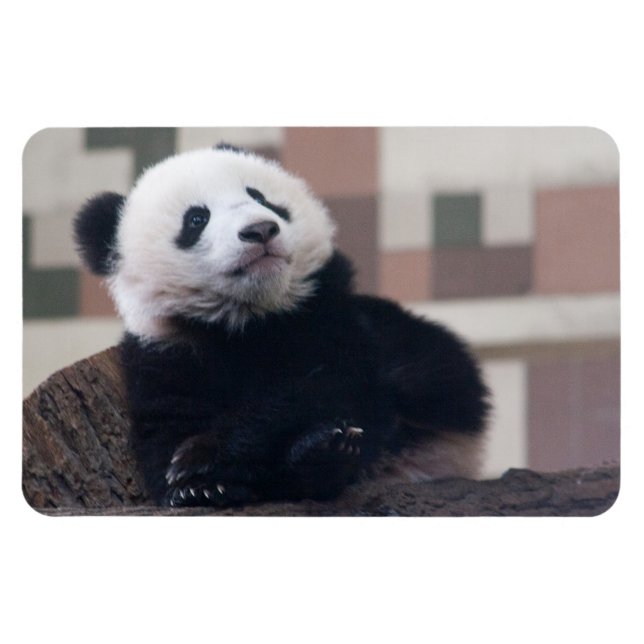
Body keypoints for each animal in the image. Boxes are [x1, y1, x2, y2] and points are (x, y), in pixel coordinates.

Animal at [74, 143, 491, 508]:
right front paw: (196, 487)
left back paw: (325, 452)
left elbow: (320, 386)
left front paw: (202, 456)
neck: (248, 318)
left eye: (261, 198)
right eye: (196, 218)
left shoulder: (328, 317)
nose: (260, 229)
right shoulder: (167, 349)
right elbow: (165, 426)